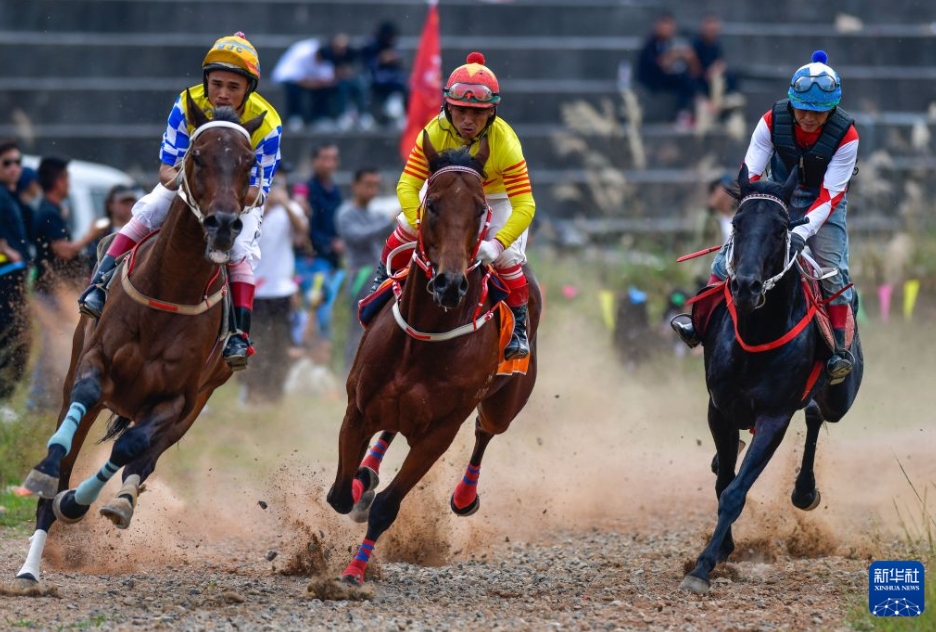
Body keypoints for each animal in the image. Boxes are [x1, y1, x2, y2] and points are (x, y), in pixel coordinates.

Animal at [9, 94, 266, 594]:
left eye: (249, 163)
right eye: (196, 155)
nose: (224, 224)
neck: (170, 289)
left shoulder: (177, 398)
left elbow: (130, 449)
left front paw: (85, 501)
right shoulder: (95, 361)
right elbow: (81, 410)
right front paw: (50, 481)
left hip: (196, 405)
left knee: (142, 458)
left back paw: (121, 499)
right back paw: (32, 564)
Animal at [326, 132, 541, 586]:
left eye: (480, 209)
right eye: (435, 204)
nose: (449, 284)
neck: (422, 341)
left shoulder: (438, 433)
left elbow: (387, 506)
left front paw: (354, 571)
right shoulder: (358, 408)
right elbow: (340, 494)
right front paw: (359, 485)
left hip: (505, 401)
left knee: (485, 432)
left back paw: (464, 495)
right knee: (390, 431)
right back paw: (368, 472)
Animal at [680, 165, 863, 593]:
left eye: (781, 230)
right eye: (737, 223)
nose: (745, 286)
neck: (757, 331)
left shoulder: (774, 417)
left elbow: (735, 492)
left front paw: (703, 567)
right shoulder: (720, 409)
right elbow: (724, 481)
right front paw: (720, 549)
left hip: (841, 396)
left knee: (817, 414)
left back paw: (805, 490)